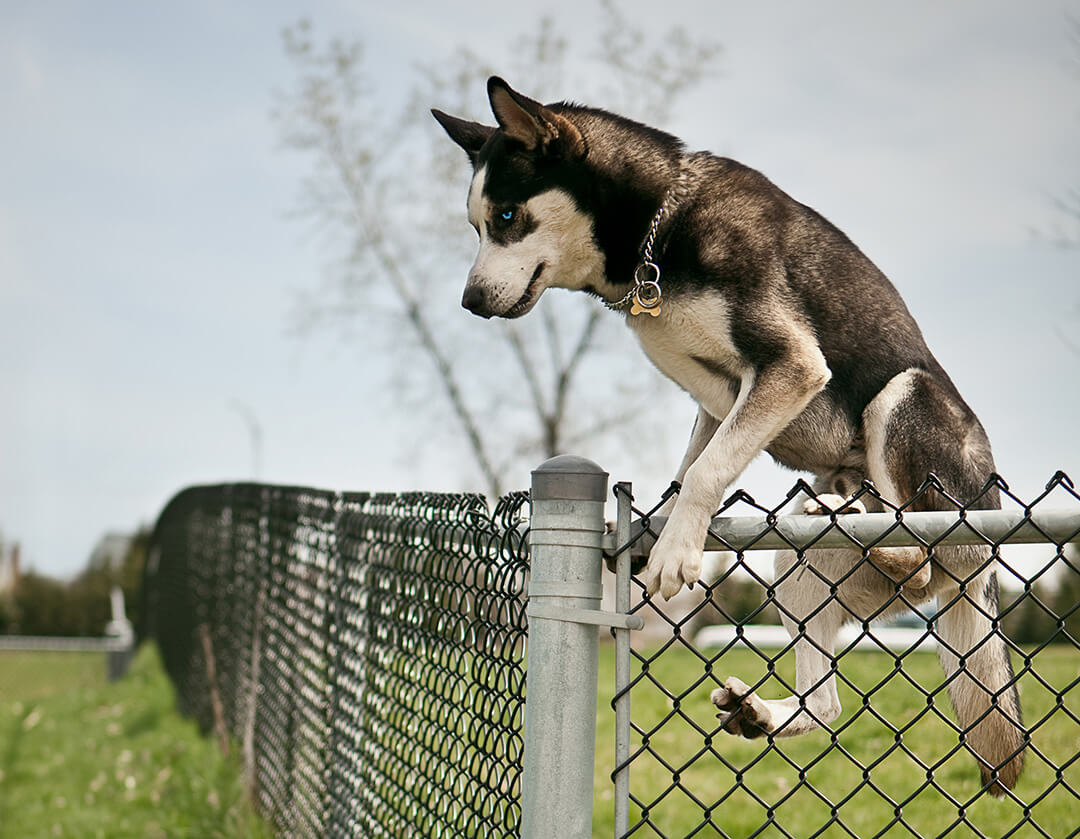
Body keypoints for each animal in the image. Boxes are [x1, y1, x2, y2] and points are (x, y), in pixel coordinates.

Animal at [434, 76, 1023, 790]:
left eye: (505, 218)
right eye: (476, 225)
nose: (468, 301)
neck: (659, 227)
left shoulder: (791, 365)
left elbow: (708, 471)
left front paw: (676, 552)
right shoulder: (718, 398)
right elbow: (689, 467)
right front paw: (654, 530)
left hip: (906, 401)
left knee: (921, 557)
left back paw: (882, 531)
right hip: (798, 564)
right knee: (827, 700)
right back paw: (766, 704)